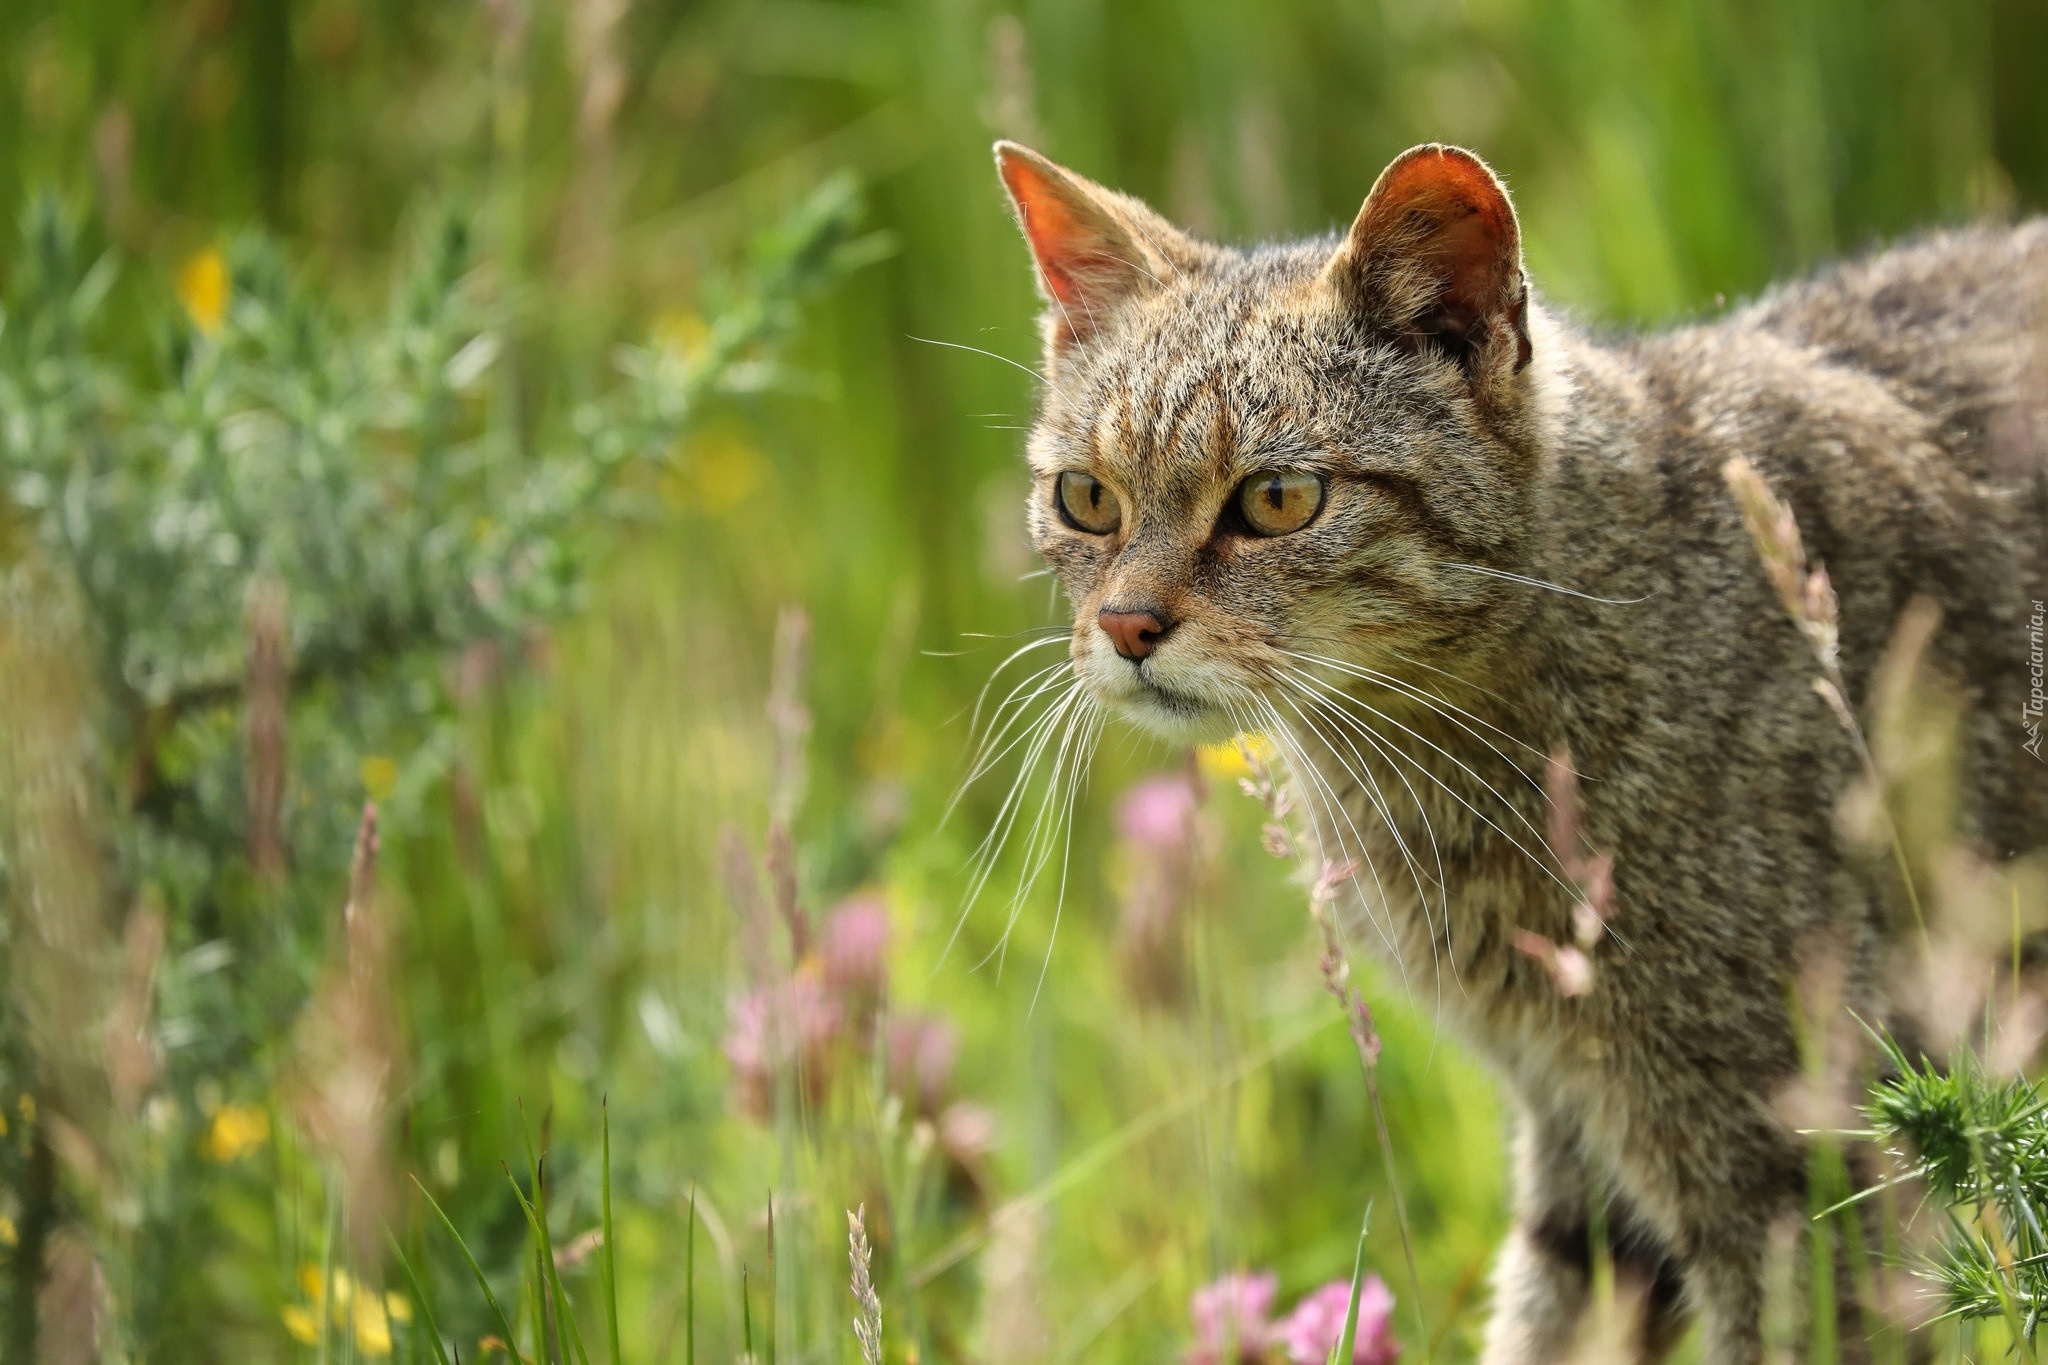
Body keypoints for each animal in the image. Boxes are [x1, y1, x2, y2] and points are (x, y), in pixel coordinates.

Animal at [983, 141, 2039, 1365]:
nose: (1124, 625)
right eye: (1086, 498)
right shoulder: (1574, 1128)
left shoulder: (1780, 1149)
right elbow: (1551, 1319)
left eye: (1277, 499)